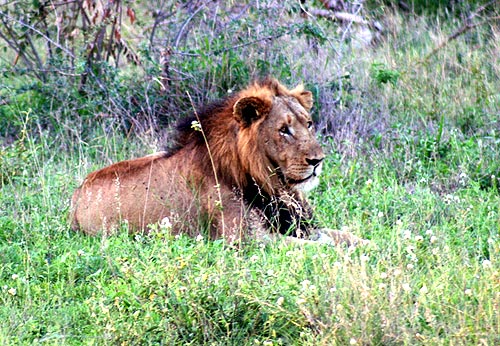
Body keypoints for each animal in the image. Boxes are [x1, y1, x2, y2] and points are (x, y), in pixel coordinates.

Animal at [69, 78, 368, 246]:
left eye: (309, 124)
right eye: (284, 130)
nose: (318, 160)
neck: (270, 184)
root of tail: (76, 195)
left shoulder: (302, 226)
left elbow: (344, 236)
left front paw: (370, 245)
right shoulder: (248, 241)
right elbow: (317, 249)